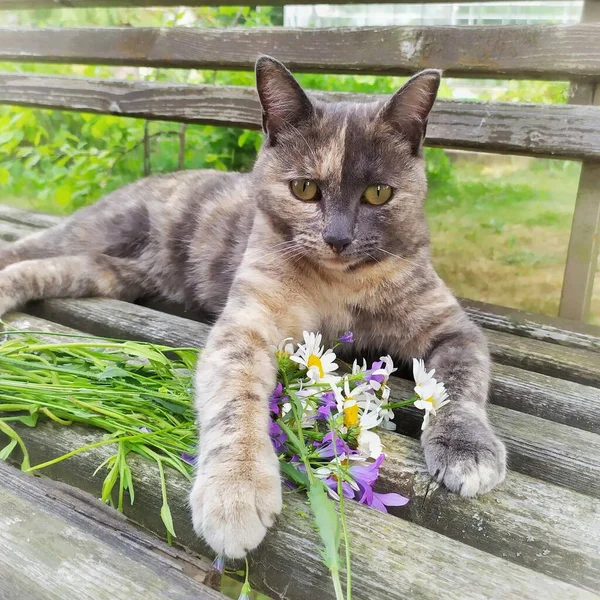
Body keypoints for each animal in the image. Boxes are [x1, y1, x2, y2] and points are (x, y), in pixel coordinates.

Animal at [0, 56, 506, 556]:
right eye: (304, 189)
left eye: (378, 193)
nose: (337, 238)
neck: (338, 285)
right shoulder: (248, 322)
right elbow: (235, 396)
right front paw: (235, 489)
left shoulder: (450, 327)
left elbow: (457, 388)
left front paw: (466, 449)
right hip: (98, 230)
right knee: (28, 247)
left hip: (115, 273)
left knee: (53, 267)